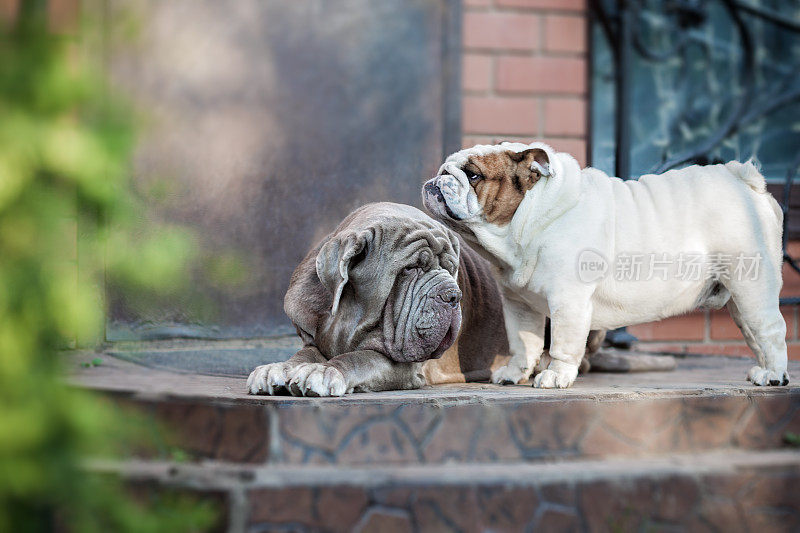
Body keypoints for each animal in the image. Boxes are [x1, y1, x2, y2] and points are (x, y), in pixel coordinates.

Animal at [247, 202, 608, 396]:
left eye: (451, 268)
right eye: (409, 270)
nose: (452, 295)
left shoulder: (405, 366)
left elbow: (359, 359)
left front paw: (325, 372)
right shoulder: (311, 336)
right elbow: (302, 355)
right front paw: (276, 370)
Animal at [424, 143, 788, 388]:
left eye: (473, 175)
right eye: (444, 167)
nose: (437, 178)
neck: (531, 218)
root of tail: (744, 179)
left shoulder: (568, 301)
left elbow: (562, 344)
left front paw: (555, 376)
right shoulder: (518, 305)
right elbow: (523, 344)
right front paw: (515, 374)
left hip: (751, 286)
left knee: (772, 331)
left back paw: (775, 375)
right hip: (740, 301)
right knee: (756, 336)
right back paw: (764, 372)